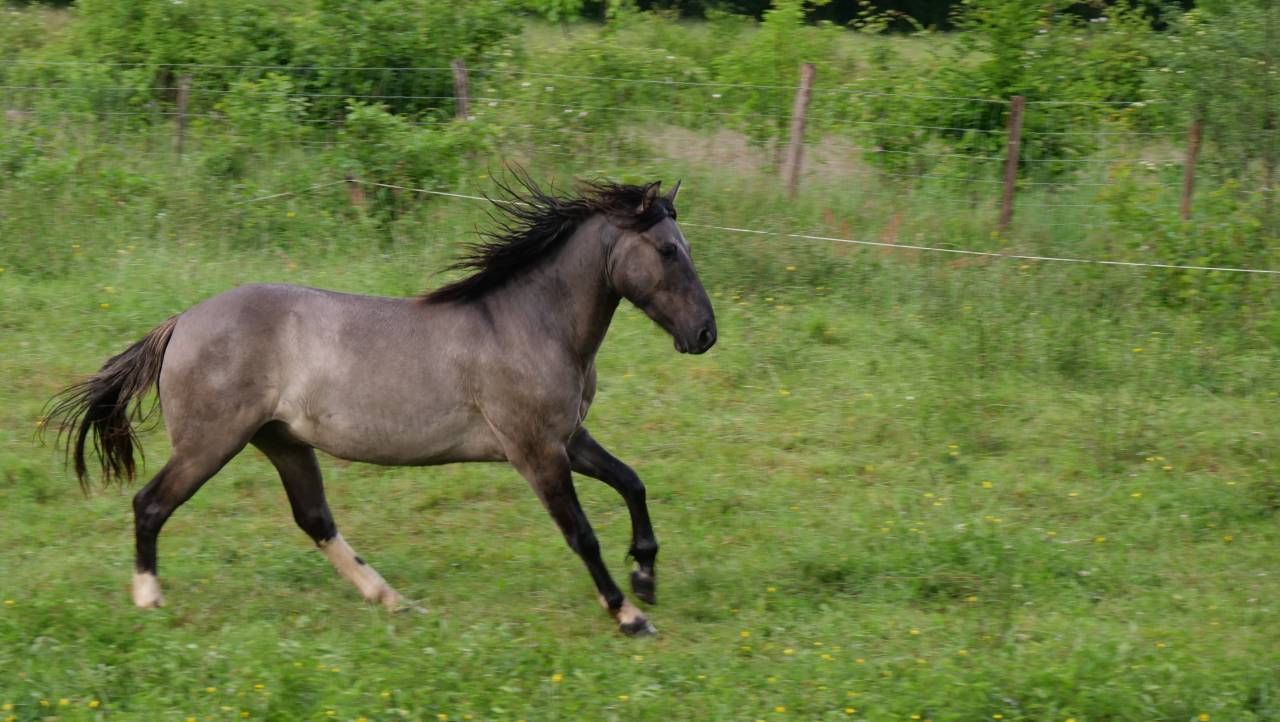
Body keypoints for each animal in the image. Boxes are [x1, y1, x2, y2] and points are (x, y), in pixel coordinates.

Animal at [45, 174, 716, 636]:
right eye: (667, 251)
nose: (705, 334)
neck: (528, 323)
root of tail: (181, 323)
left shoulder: (566, 439)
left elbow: (632, 483)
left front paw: (646, 577)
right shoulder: (534, 451)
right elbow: (582, 534)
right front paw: (630, 615)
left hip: (281, 441)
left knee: (315, 520)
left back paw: (392, 600)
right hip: (212, 442)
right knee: (151, 503)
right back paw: (148, 597)